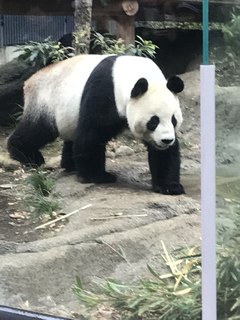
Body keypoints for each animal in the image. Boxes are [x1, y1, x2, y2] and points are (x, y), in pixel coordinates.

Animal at [7, 54, 184, 195]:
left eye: (173, 119)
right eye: (153, 121)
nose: (166, 140)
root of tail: (29, 81)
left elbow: (163, 154)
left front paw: (170, 186)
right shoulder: (105, 91)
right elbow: (92, 134)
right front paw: (97, 176)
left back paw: (70, 165)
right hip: (45, 101)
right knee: (38, 130)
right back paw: (27, 155)